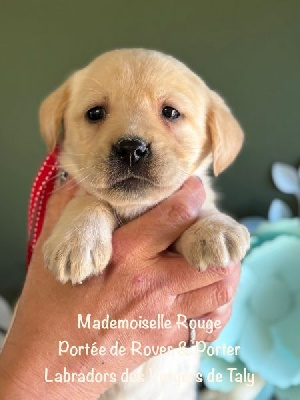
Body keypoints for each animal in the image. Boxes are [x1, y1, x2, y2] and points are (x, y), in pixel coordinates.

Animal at [40, 48, 251, 398]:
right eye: (95, 113)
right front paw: (77, 240)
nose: (130, 149)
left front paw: (212, 229)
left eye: (170, 112)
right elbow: (88, 198)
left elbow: (199, 202)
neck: (133, 209)